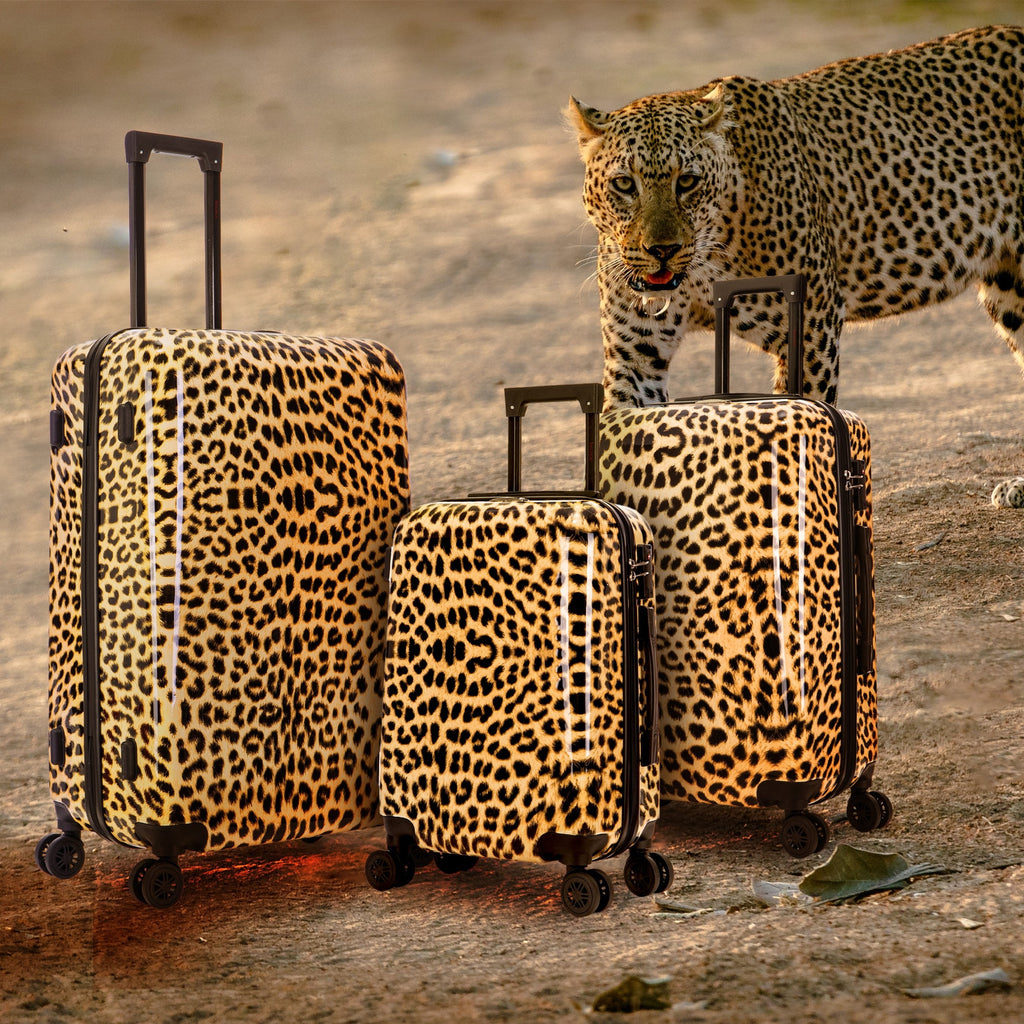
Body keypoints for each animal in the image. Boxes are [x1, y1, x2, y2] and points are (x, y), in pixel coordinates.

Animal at [567, 25, 1024, 508]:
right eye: (624, 184)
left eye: (686, 181)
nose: (662, 250)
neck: (702, 271)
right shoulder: (636, 355)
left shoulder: (810, 329)